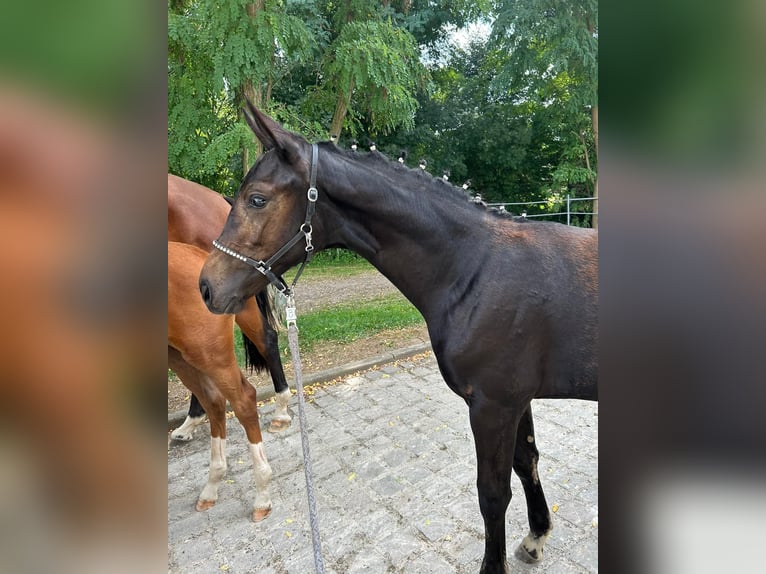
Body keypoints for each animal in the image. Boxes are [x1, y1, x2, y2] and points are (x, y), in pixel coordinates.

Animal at [170, 241, 274, 524]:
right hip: (180, 356)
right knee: (214, 402)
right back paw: (212, 486)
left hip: (208, 353)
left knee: (242, 399)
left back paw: (262, 494)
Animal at [198, 106, 600, 572]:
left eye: (257, 199)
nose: (206, 287)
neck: (476, 268)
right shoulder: (515, 401)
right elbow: (527, 462)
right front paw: (536, 536)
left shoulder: (493, 406)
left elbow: (493, 494)